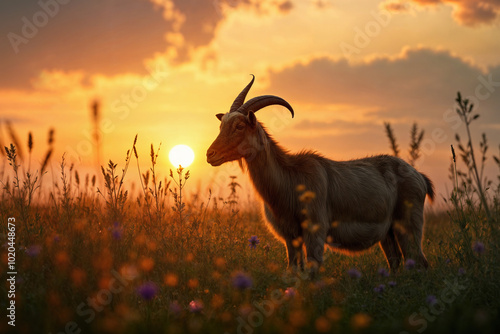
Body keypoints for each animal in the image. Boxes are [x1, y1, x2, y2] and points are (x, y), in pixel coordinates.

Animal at [206, 76, 434, 276]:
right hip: (388, 234)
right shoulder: (290, 237)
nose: (210, 154)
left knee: (419, 261)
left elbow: (313, 269)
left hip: (408, 226)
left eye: (239, 126)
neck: (291, 178)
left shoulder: (315, 231)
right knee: (396, 262)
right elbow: (294, 269)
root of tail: (419, 177)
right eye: (221, 125)